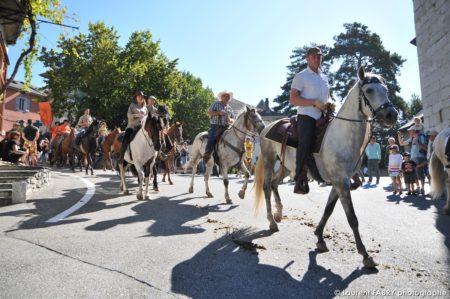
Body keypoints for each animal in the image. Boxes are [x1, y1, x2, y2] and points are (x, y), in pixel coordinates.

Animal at [255, 67, 400, 268]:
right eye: (369, 90)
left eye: (385, 89)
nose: (391, 115)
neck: (341, 137)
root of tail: (267, 127)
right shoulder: (341, 183)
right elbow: (352, 218)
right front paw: (365, 254)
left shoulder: (339, 183)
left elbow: (328, 210)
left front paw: (319, 238)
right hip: (269, 161)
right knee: (267, 187)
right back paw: (271, 221)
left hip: (286, 167)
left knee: (276, 184)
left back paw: (278, 214)